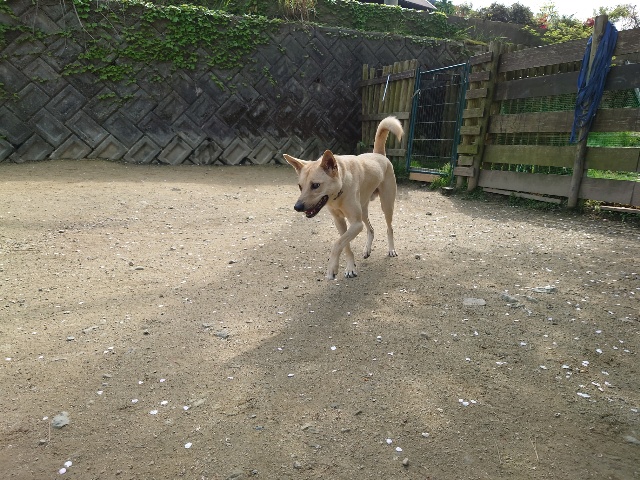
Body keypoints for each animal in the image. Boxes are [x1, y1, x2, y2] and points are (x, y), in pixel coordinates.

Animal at [283, 116, 403, 280]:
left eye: (315, 185)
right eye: (300, 186)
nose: (297, 207)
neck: (338, 194)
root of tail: (379, 154)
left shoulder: (356, 224)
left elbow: (337, 244)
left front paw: (332, 269)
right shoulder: (340, 222)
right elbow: (345, 244)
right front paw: (350, 267)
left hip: (386, 205)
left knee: (389, 228)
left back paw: (391, 249)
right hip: (363, 210)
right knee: (371, 229)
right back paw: (367, 250)